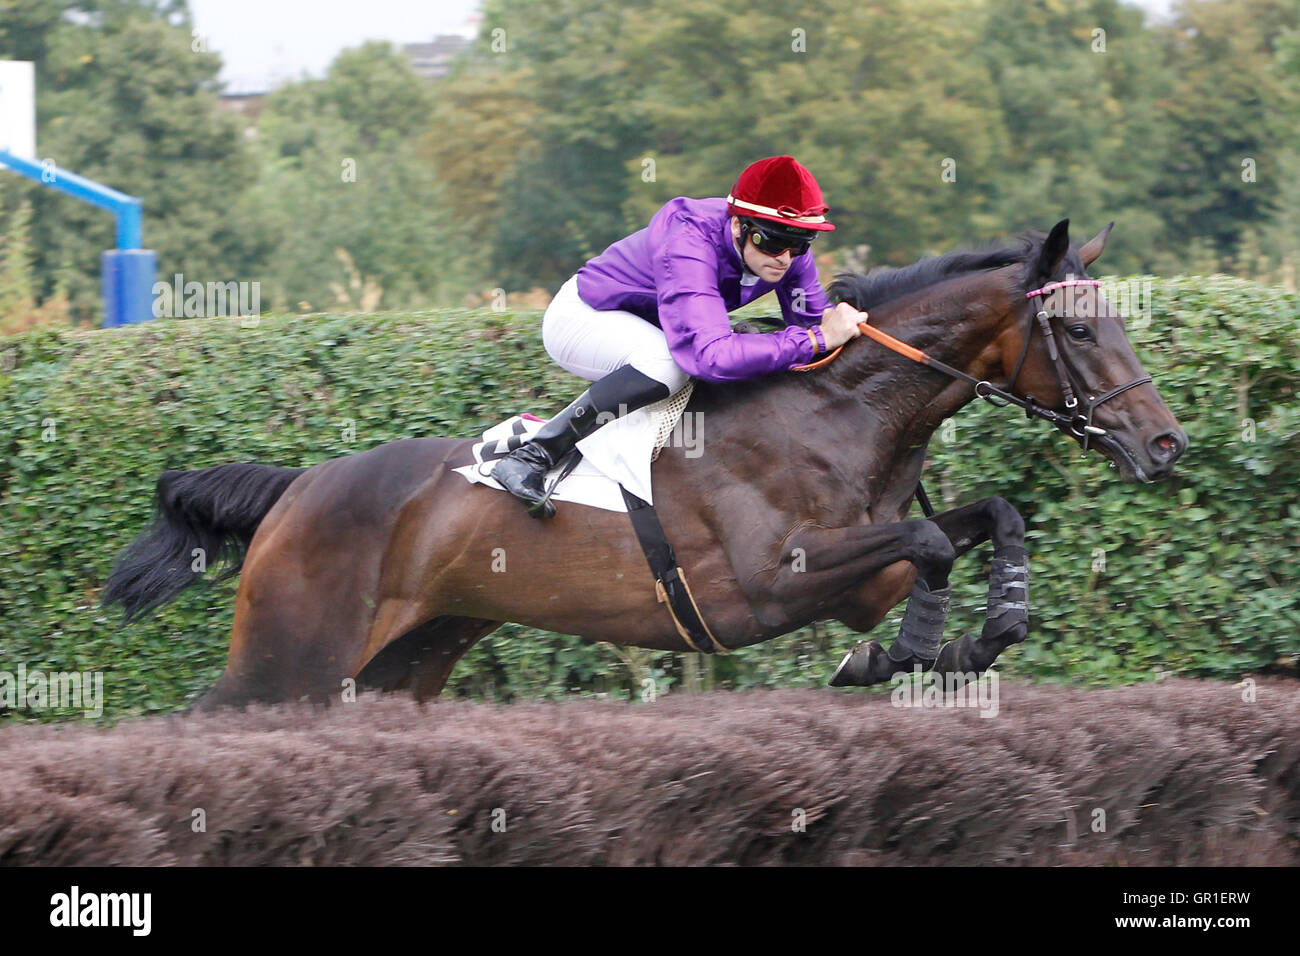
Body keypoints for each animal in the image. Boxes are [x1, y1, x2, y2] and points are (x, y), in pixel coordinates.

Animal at [104, 218, 1190, 712]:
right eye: (1080, 330)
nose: (1164, 443)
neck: (837, 410)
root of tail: (299, 487)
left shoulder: (860, 563)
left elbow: (991, 516)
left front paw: (976, 636)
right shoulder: (768, 583)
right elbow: (927, 540)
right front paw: (904, 649)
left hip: (401, 663)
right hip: (288, 658)